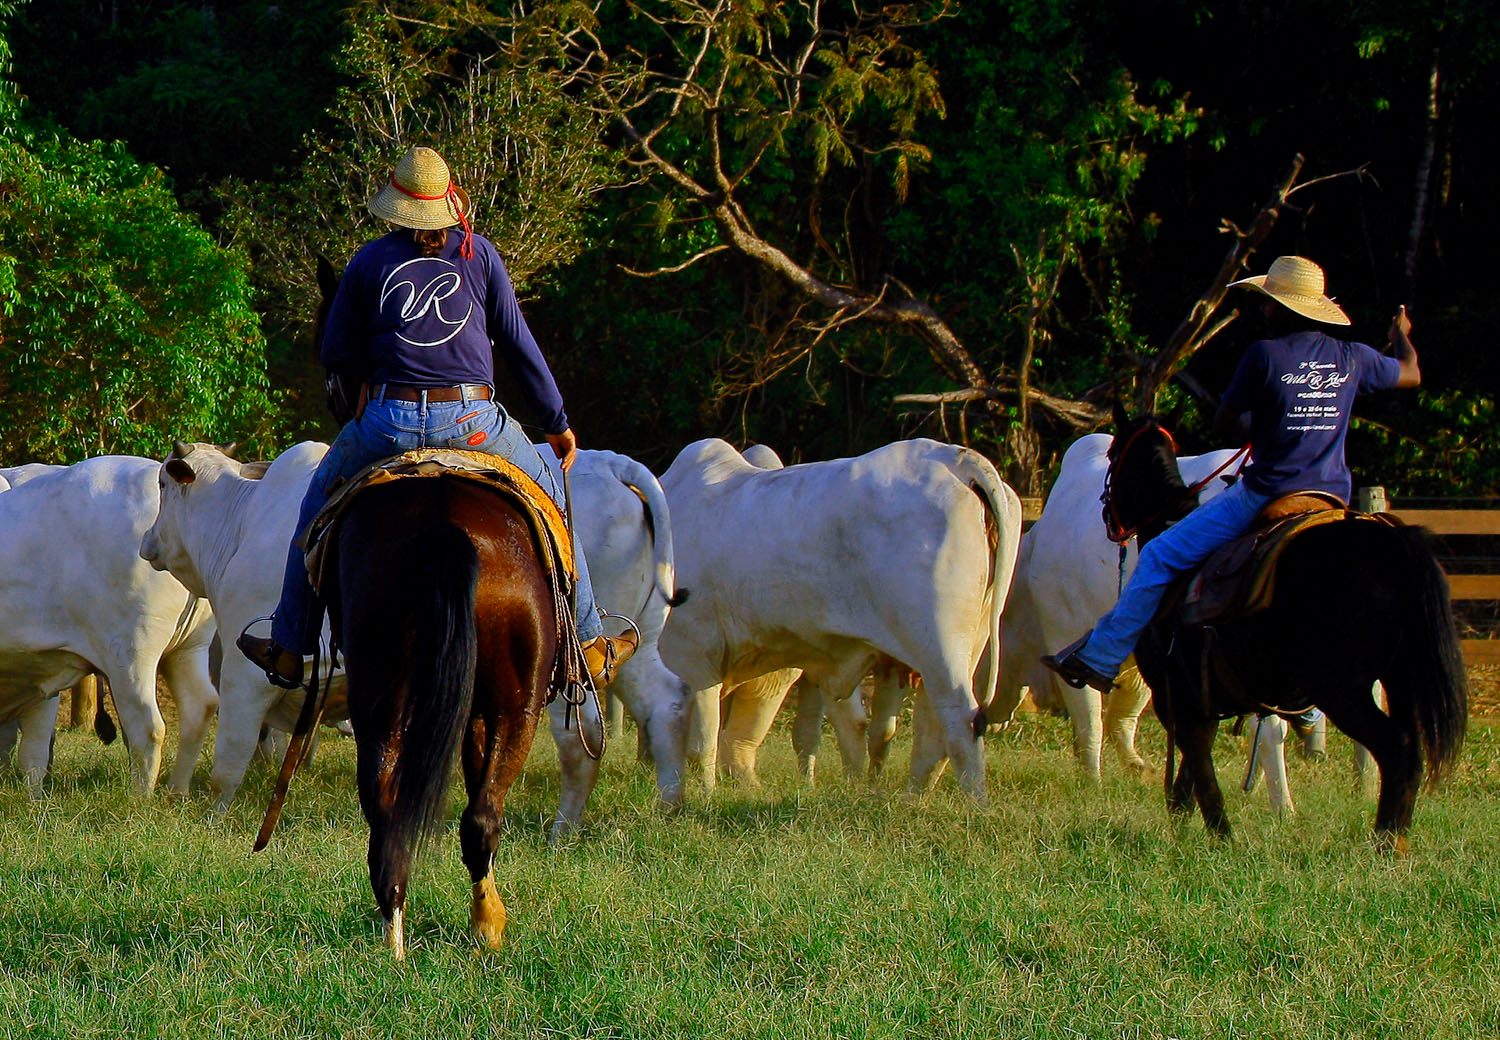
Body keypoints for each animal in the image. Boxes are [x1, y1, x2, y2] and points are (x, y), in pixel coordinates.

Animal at [0, 459, 217, 792]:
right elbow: (33, 754)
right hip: (190, 645)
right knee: (199, 708)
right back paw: (176, 793)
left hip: (131, 653)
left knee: (146, 727)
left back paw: (140, 798)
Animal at [325, 471, 561, 954]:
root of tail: (442, 523)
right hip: (518, 708)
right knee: (481, 819)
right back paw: (487, 925)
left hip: (381, 699)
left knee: (387, 819)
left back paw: (395, 941)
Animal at [663, 435, 1026, 798]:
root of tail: (956, 459)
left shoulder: (694, 657)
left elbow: (701, 743)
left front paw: (704, 795)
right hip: (962, 644)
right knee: (933, 724)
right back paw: (913, 797)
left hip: (938, 643)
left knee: (959, 718)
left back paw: (973, 800)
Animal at [1110, 411, 1470, 846]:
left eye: (1112, 456)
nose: (1108, 517)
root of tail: (1389, 539)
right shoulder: (1201, 701)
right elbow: (1192, 769)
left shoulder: (1174, 698)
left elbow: (1198, 767)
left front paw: (1219, 834)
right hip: (1398, 677)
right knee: (1411, 751)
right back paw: (1396, 838)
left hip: (1341, 690)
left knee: (1396, 747)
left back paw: (1384, 843)